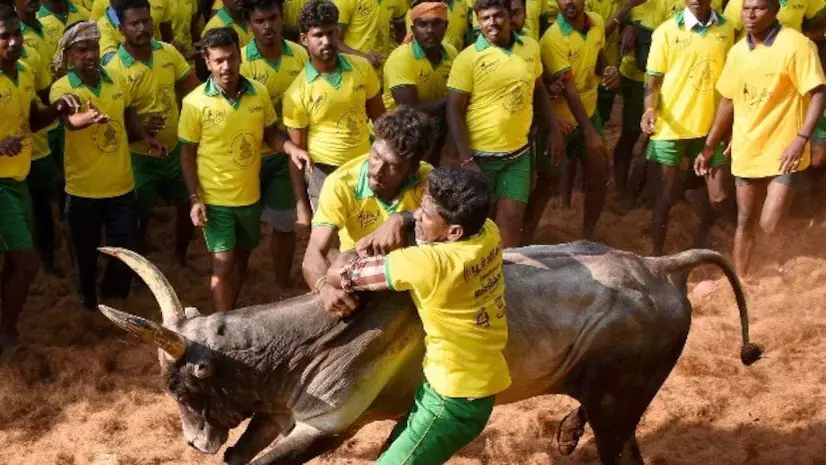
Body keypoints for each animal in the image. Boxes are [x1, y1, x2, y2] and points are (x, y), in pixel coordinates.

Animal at [98, 241, 762, 465]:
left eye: (188, 384)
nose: (193, 443)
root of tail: (662, 266)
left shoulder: (324, 426)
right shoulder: (279, 415)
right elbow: (242, 455)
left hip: (621, 400)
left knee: (622, 448)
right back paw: (565, 432)